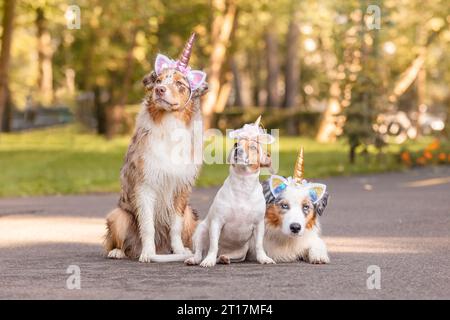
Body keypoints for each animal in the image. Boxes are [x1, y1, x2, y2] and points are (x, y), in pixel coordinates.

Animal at [105, 32, 209, 262]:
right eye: (159, 81)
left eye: (180, 84)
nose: (160, 90)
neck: (169, 125)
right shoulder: (145, 185)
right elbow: (147, 225)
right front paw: (147, 253)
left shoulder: (181, 187)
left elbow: (175, 226)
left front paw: (179, 251)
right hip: (118, 215)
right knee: (121, 243)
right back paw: (119, 251)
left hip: (191, 213)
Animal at [185, 117, 276, 268]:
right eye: (236, 144)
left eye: (253, 147)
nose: (237, 150)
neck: (242, 185)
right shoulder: (216, 223)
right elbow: (214, 245)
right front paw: (208, 261)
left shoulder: (259, 225)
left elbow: (259, 245)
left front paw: (263, 258)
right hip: (201, 231)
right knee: (200, 252)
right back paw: (198, 259)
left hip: (240, 253)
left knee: (227, 256)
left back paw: (224, 258)